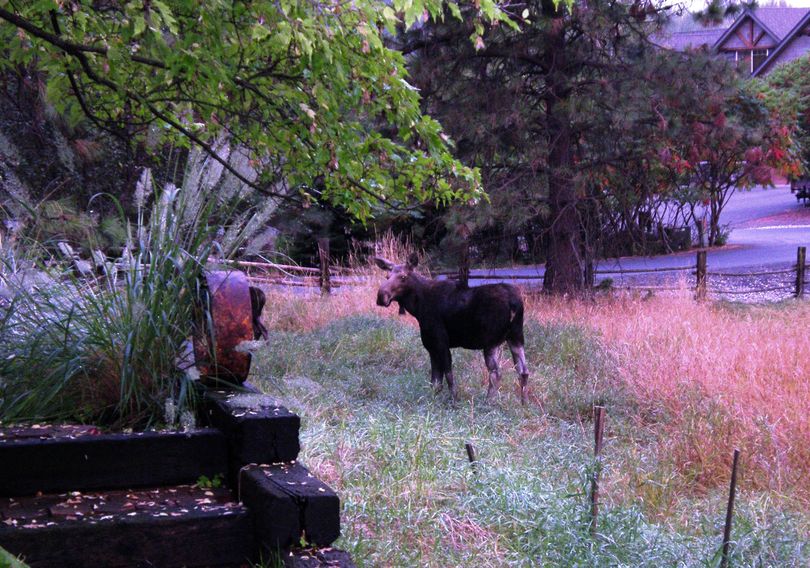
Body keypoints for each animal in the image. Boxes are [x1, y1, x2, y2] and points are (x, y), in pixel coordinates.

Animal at [374, 253, 528, 404]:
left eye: (403, 277)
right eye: (387, 276)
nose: (381, 296)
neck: (417, 307)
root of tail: (514, 303)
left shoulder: (439, 342)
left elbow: (447, 375)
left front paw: (454, 401)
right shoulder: (432, 346)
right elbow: (435, 382)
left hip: (491, 341)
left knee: (496, 372)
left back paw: (488, 402)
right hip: (516, 336)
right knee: (523, 371)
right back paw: (523, 404)